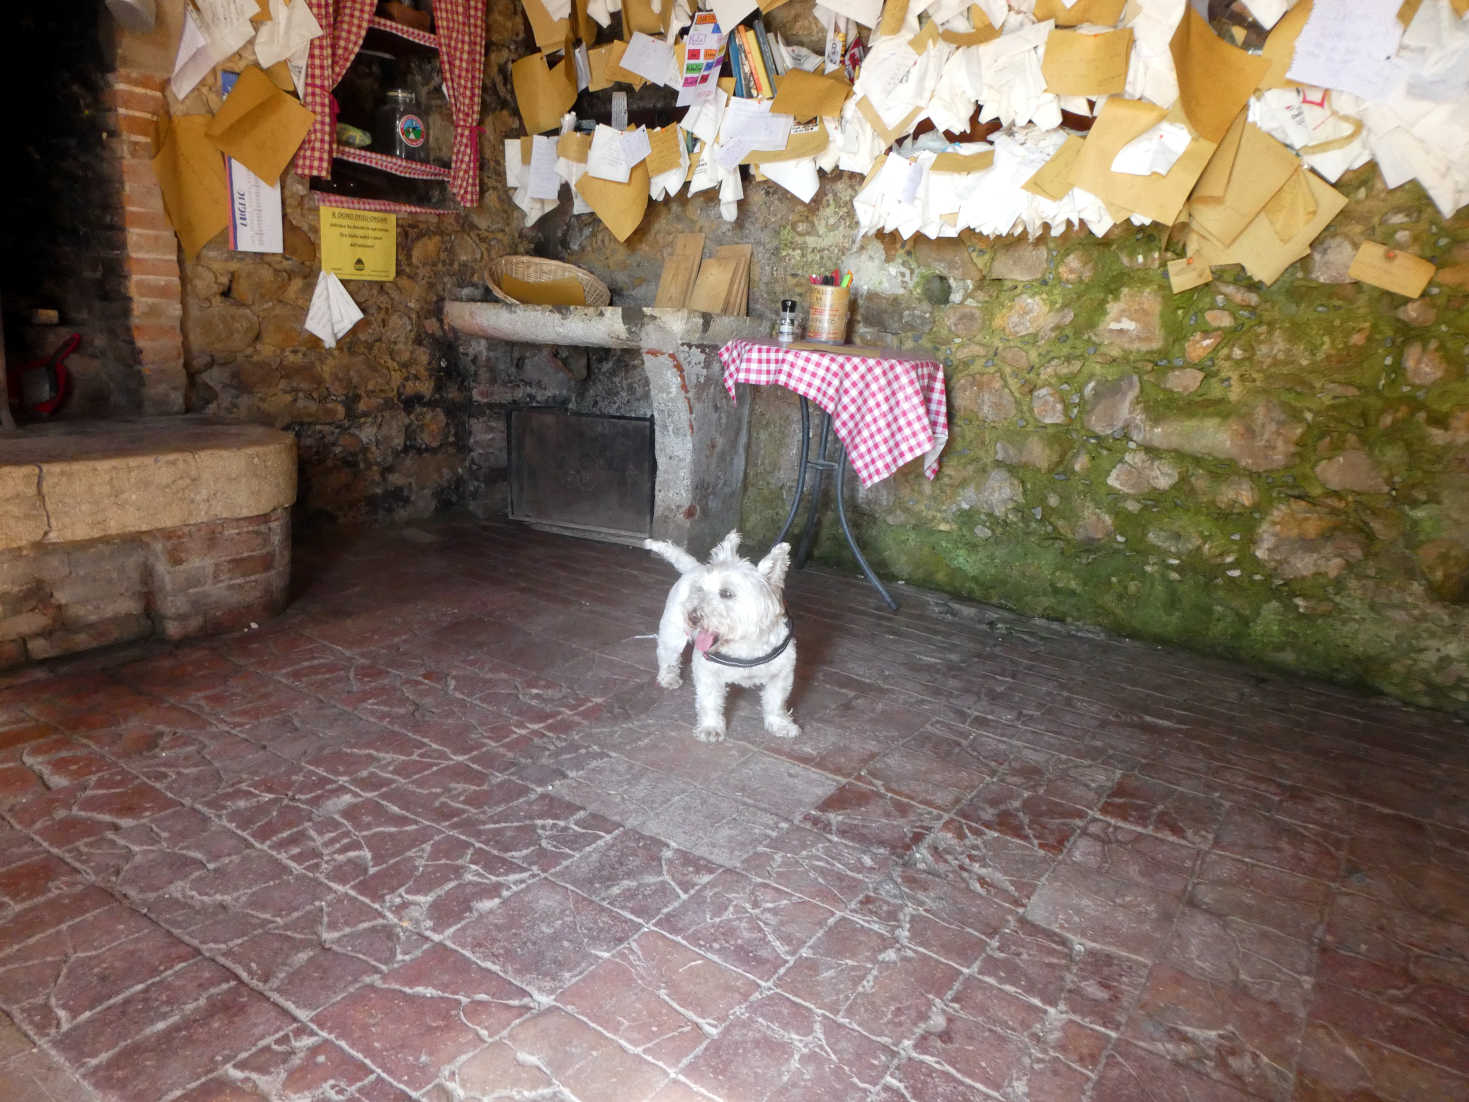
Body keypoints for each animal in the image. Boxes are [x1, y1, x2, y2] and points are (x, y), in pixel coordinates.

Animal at [646, 531, 805, 746]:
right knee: (667, 654)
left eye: (727, 593)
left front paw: (781, 725)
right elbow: (709, 700)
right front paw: (710, 728)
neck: (745, 645)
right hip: (672, 632)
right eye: (699, 589)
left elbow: (776, 701)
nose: (692, 616)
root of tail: (695, 567)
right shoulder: (707, 671)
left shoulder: (782, 673)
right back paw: (668, 678)